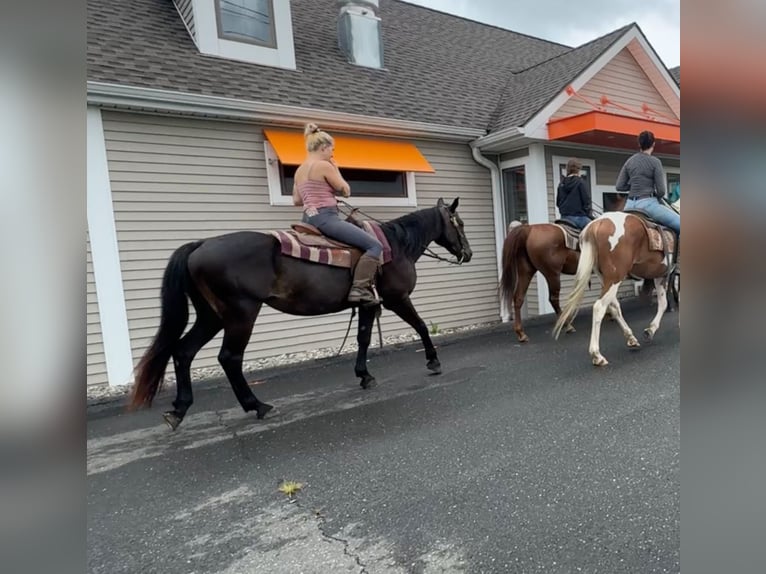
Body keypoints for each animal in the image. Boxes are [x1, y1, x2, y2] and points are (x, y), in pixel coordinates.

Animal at [552, 213, 680, 368]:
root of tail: (596, 225)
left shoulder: (659, 275)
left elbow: (663, 303)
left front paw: (650, 330)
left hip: (606, 278)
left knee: (614, 307)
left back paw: (630, 337)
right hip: (615, 277)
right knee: (599, 307)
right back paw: (597, 355)